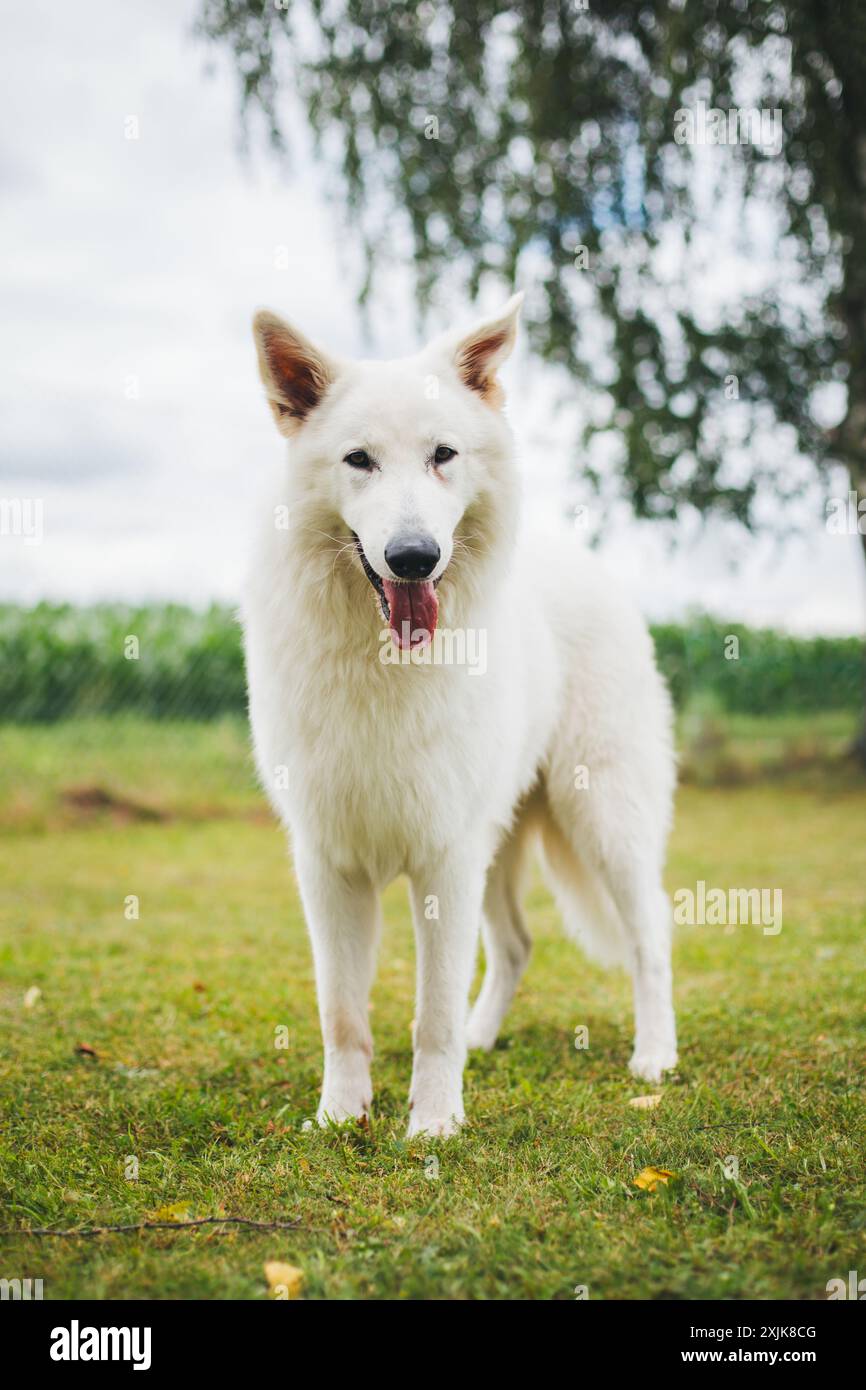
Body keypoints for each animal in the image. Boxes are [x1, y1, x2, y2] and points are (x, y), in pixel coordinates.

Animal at [244, 296, 678, 1139]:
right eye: (359, 461)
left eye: (443, 455)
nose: (415, 557)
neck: (383, 661)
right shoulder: (330, 866)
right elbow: (341, 1013)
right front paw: (341, 1116)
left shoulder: (443, 859)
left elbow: (431, 1015)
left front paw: (434, 1123)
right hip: (500, 845)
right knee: (516, 945)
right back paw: (487, 1037)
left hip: (604, 821)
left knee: (651, 936)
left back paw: (654, 1058)